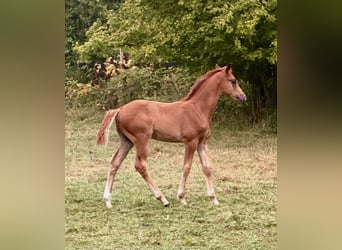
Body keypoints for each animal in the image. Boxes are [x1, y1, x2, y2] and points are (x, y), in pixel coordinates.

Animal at [96, 63, 246, 208]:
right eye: (233, 80)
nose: (243, 97)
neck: (197, 109)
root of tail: (120, 109)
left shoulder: (202, 143)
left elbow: (207, 168)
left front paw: (214, 199)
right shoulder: (190, 141)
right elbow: (187, 167)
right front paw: (182, 198)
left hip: (127, 141)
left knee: (114, 163)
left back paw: (108, 200)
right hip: (141, 140)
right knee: (141, 165)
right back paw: (163, 199)